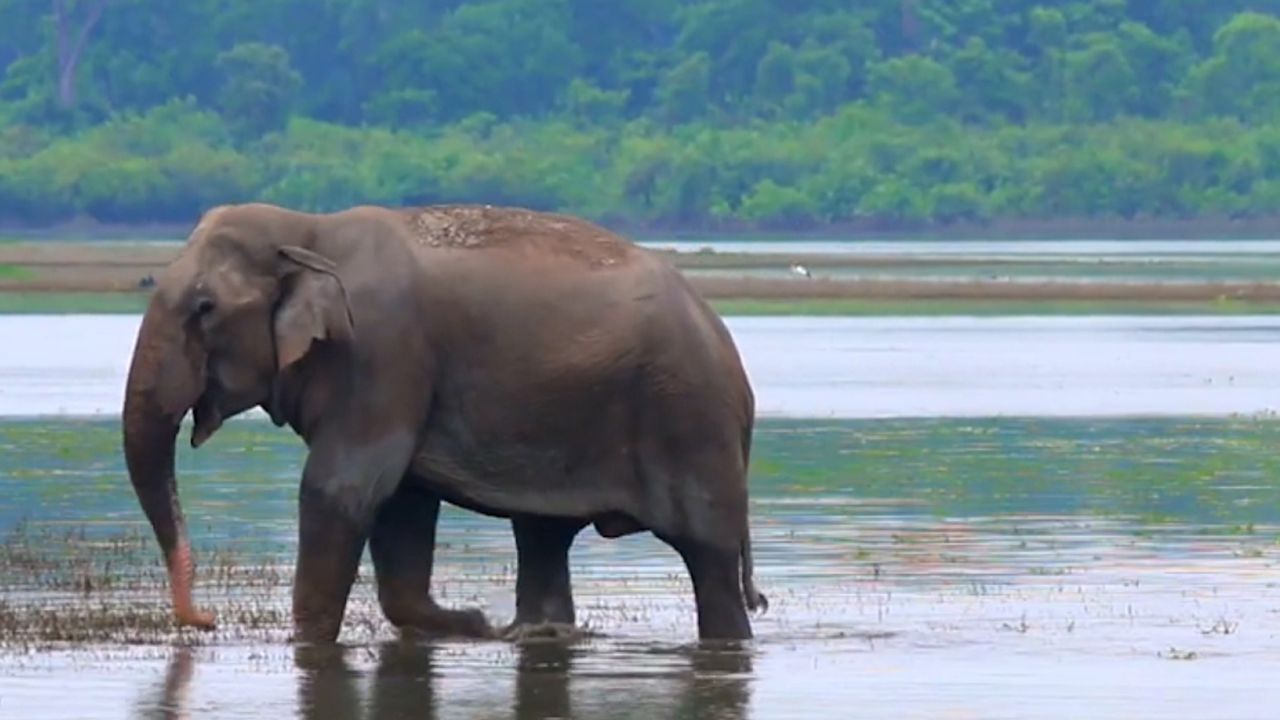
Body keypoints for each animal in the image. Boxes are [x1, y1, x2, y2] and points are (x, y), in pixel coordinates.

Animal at [121, 201, 768, 644]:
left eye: (204, 309)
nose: (205, 618)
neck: (308, 228)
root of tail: (731, 354)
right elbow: (399, 503)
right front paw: (471, 624)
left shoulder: (381, 352)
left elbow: (343, 487)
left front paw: (306, 644)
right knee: (543, 536)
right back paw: (535, 633)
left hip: (690, 419)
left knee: (709, 557)